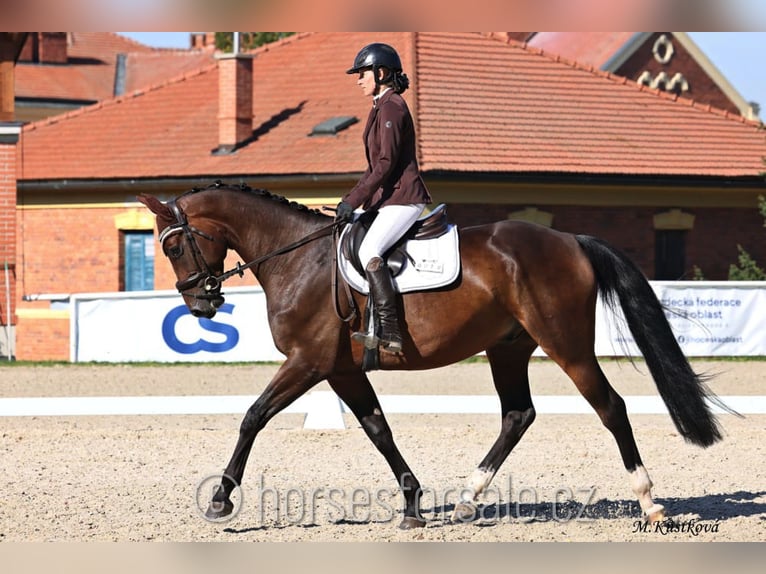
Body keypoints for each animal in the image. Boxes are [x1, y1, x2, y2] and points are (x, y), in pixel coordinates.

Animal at [138, 183, 732, 532]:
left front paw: (220, 500)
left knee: (611, 408)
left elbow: (253, 416)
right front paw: (413, 505)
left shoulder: (308, 363)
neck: (298, 259)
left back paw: (650, 503)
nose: (201, 305)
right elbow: (378, 429)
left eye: (173, 245)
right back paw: (468, 499)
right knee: (518, 414)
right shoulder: (341, 370)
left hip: (566, 344)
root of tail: (571, 241)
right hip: (508, 348)